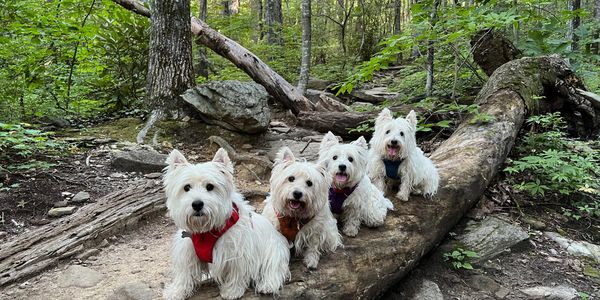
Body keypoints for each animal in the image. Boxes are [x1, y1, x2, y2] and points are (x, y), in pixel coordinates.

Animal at [162, 148, 288, 300]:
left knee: (273, 269)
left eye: (210, 186)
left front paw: (232, 291)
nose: (197, 204)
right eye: (186, 187)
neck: (205, 230)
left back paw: (267, 286)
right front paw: (176, 291)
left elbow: (237, 273)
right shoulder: (187, 251)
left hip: (274, 250)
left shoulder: (238, 252)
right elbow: (184, 274)